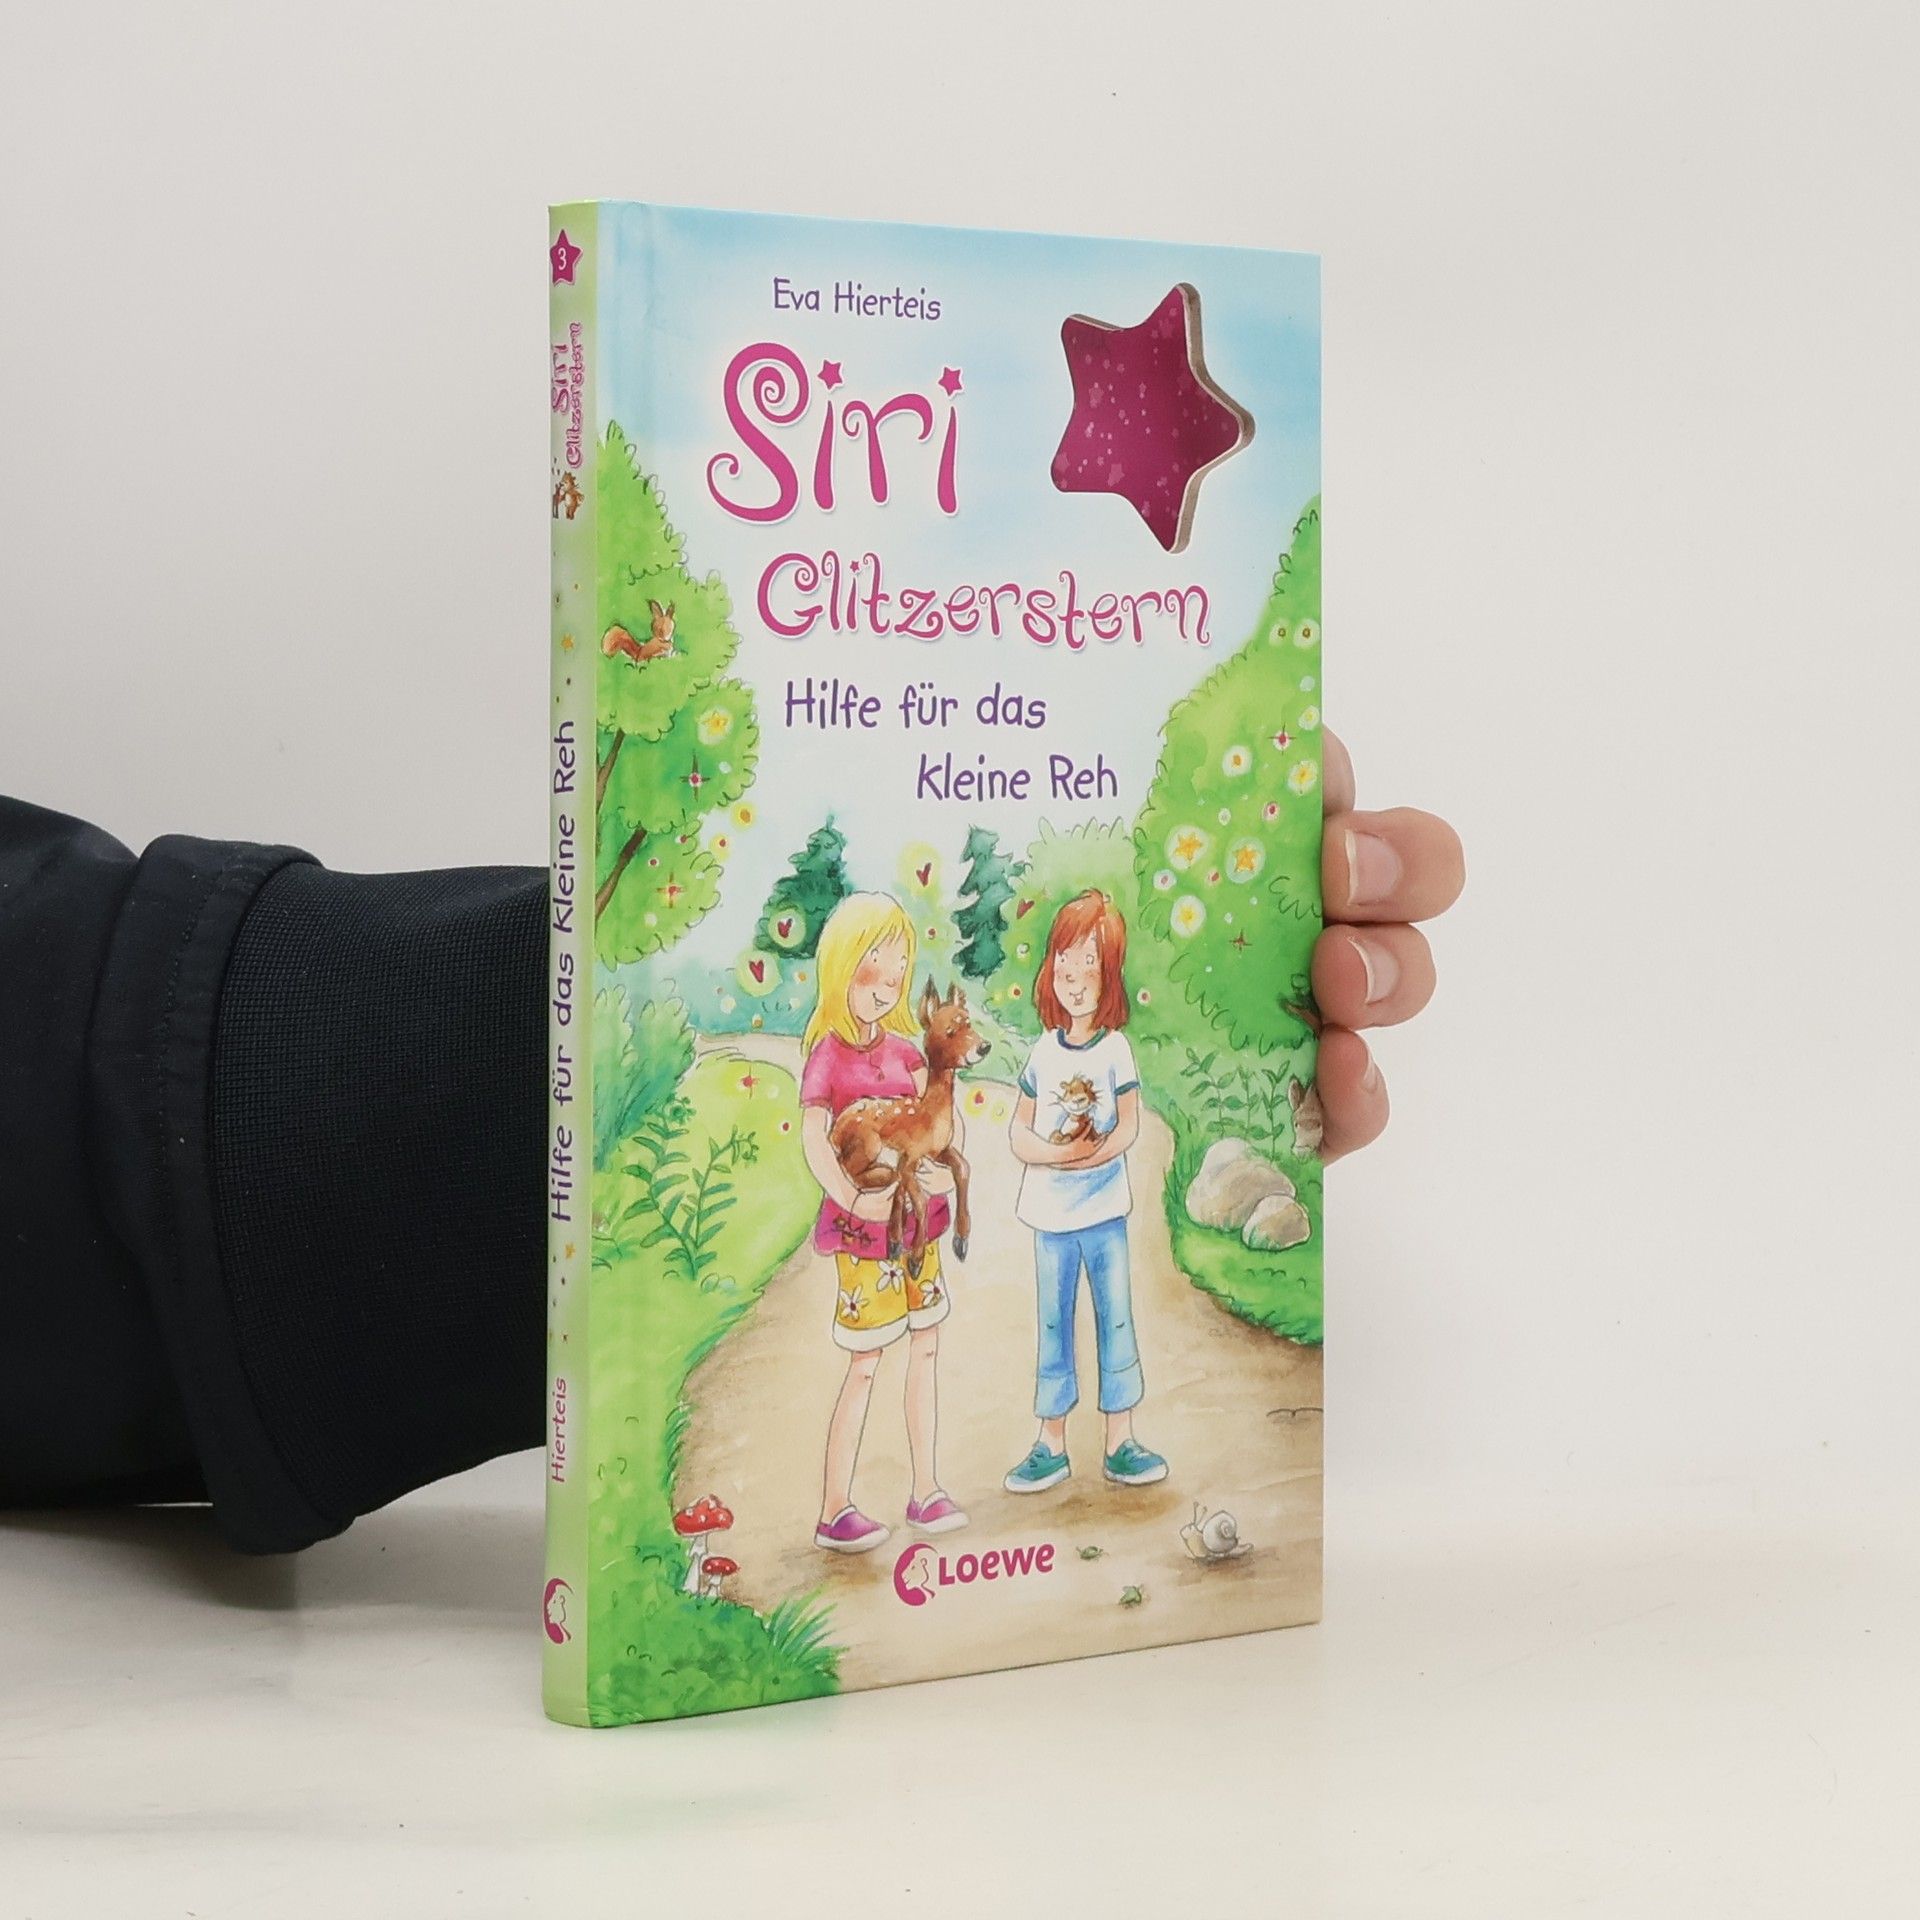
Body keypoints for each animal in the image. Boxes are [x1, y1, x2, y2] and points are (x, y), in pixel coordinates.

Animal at [830, 980, 989, 1277]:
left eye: (970, 1023)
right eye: (950, 1031)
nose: (985, 1047)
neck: (929, 1117)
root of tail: (834, 1132)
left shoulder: (937, 1150)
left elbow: (963, 1168)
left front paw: (961, 1240)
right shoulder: (910, 1156)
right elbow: (922, 1201)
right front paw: (915, 1259)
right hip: (869, 1142)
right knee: (851, 1169)